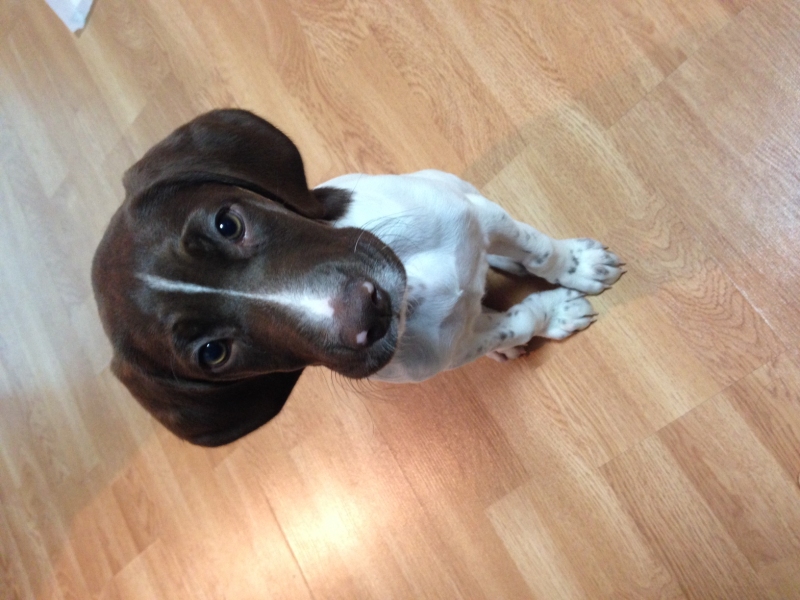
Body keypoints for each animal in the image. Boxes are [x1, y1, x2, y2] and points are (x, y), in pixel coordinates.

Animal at [92, 109, 622, 446]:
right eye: (213, 353)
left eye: (227, 224)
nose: (367, 312)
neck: (415, 291)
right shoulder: (454, 350)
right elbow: (517, 321)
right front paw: (553, 313)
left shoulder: (476, 216)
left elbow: (538, 249)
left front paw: (577, 266)